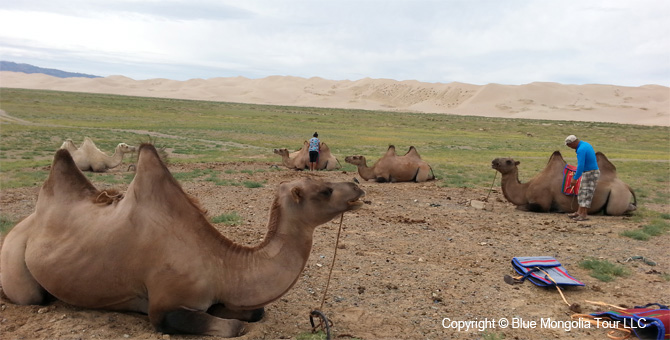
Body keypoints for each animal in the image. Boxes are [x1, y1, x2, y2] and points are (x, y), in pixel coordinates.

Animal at [0, 143, 368, 338]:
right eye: (324, 190)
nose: (357, 188)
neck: (223, 266)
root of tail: (23, 224)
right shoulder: (164, 308)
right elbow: (233, 327)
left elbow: (254, 313)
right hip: (17, 265)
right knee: (29, 295)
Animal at [494, 150, 640, 214]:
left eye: (508, 161)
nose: (494, 161)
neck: (525, 189)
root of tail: (626, 185)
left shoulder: (542, 203)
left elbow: (520, 206)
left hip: (618, 195)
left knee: (614, 210)